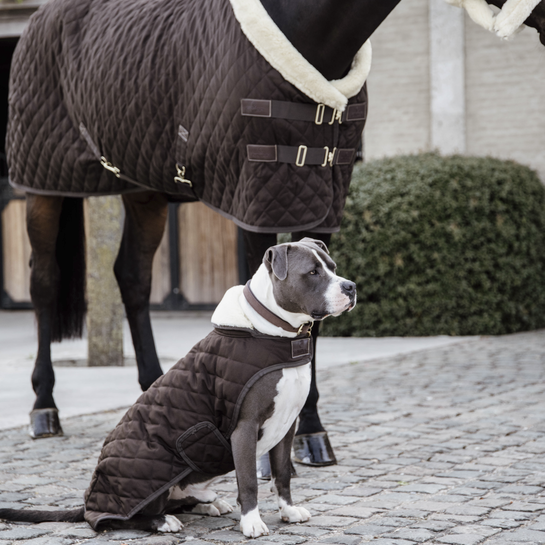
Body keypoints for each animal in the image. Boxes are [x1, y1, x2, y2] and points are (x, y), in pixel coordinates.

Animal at [0, 237, 356, 536]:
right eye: (312, 272)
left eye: (333, 266)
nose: (350, 286)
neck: (275, 333)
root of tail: (91, 497)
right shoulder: (244, 428)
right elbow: (248, 481)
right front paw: (252, 523)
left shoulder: (286, 425)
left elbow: (282, 474)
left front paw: (288, 511)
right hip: (148, 470)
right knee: (107, 518)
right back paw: (162, 520)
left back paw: (209, 503)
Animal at [9, 0, 544, 462]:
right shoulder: (256, 207)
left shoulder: (319, 208)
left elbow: (313, 322)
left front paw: (312, 436)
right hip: (43, 186)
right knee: (44, 281)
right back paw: (44, 409)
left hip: (145, 192)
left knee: (133, 277)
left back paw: (154, 391)